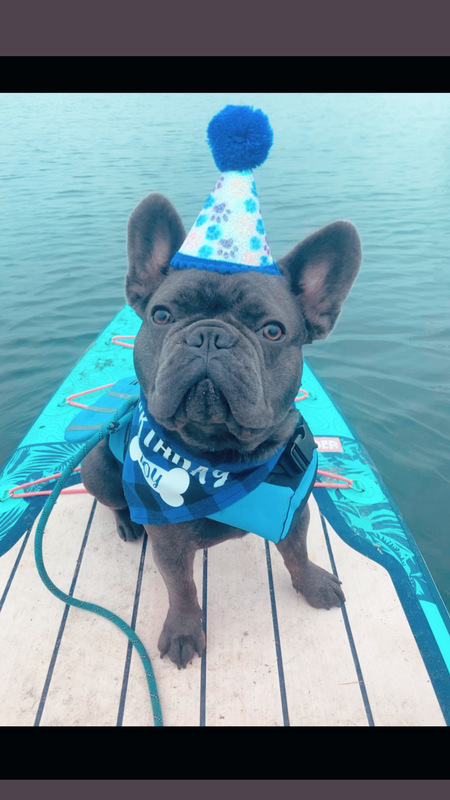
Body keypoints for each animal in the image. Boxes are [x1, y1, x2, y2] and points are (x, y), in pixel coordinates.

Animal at [81, 189, 362, 668]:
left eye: (272, 331)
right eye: (161, 315)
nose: (210, 335)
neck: (222, 459)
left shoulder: (296, 512)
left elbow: (299, 551)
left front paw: (312, 584)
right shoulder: (169, 541)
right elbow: (182, 588)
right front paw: (183, 633)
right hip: (96, 467)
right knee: (113, 500)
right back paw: (128, 523)